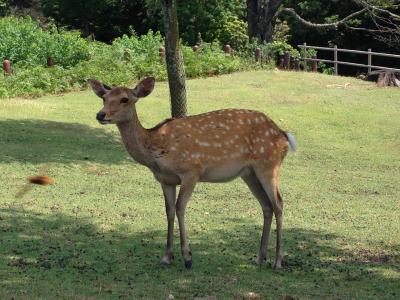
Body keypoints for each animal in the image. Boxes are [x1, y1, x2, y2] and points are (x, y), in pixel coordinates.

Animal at [90, 77, 296, 270]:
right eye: (104, 98)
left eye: (124, 99)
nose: (100, 114)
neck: (157, 150)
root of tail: (284, 135)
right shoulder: (165, 180)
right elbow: (169, 210)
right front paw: (167, 257)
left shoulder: (192, 171)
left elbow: (180, 207)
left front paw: (187, 257)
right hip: (249, 173)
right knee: (266, 205)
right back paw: (260, 258)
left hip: (269, 165)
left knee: (278, 203)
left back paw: (277, 261)